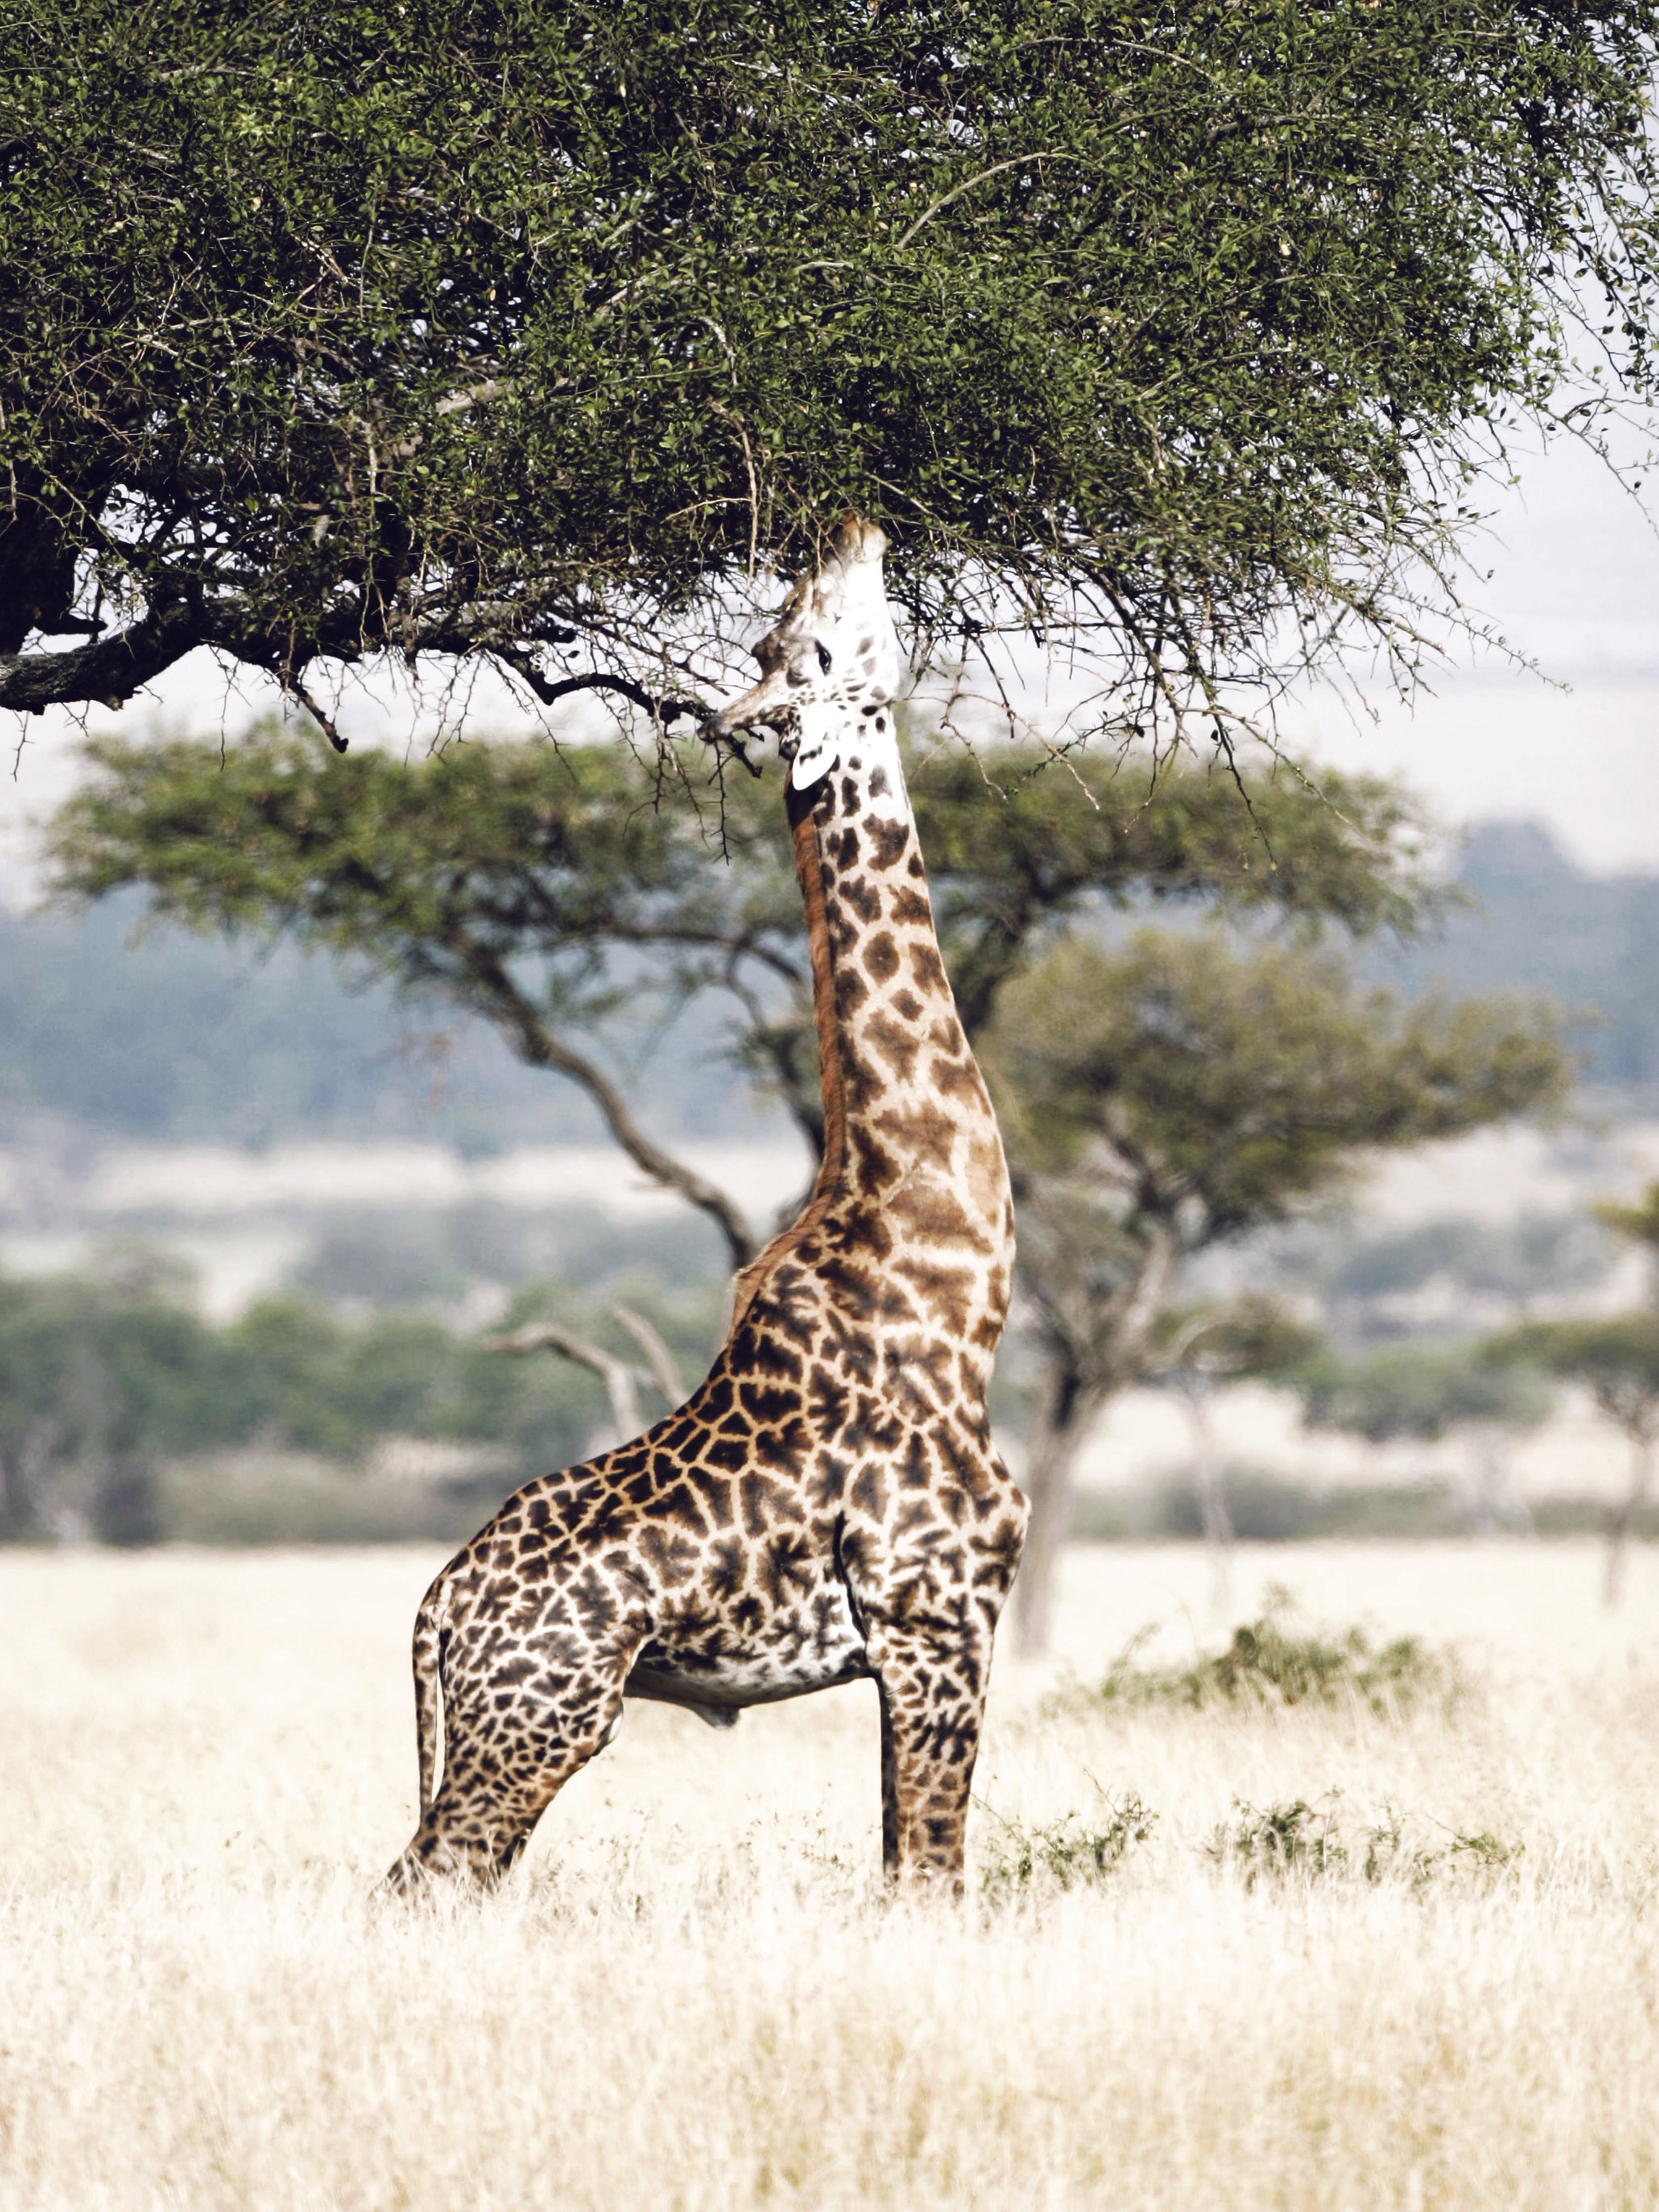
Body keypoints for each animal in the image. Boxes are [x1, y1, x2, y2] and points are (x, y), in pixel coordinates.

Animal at [386, 517, 1026, 1898]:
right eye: (813, 640)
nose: (850, 524)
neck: (953, 1286)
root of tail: (439, 1605)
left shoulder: (913, 1645)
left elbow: (901, 1868)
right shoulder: (939, 1615)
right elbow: (935, 1878)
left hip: (507, 1721)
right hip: (542, 1718)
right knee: (424, 1880)